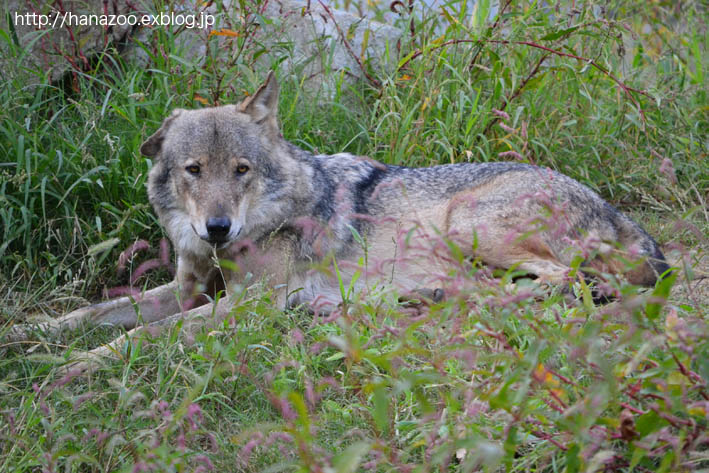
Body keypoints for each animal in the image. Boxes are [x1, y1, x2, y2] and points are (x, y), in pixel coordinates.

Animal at [6, 72, 668, 370]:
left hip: (466, 225)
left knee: (567, 286)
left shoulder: (249, 306)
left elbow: (139, 337)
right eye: (194, 170)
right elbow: (85, 316)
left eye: (241, 170)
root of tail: (616, 211)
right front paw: (27, 337)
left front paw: (72, 365)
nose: (216, 228)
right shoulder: (185, 288)